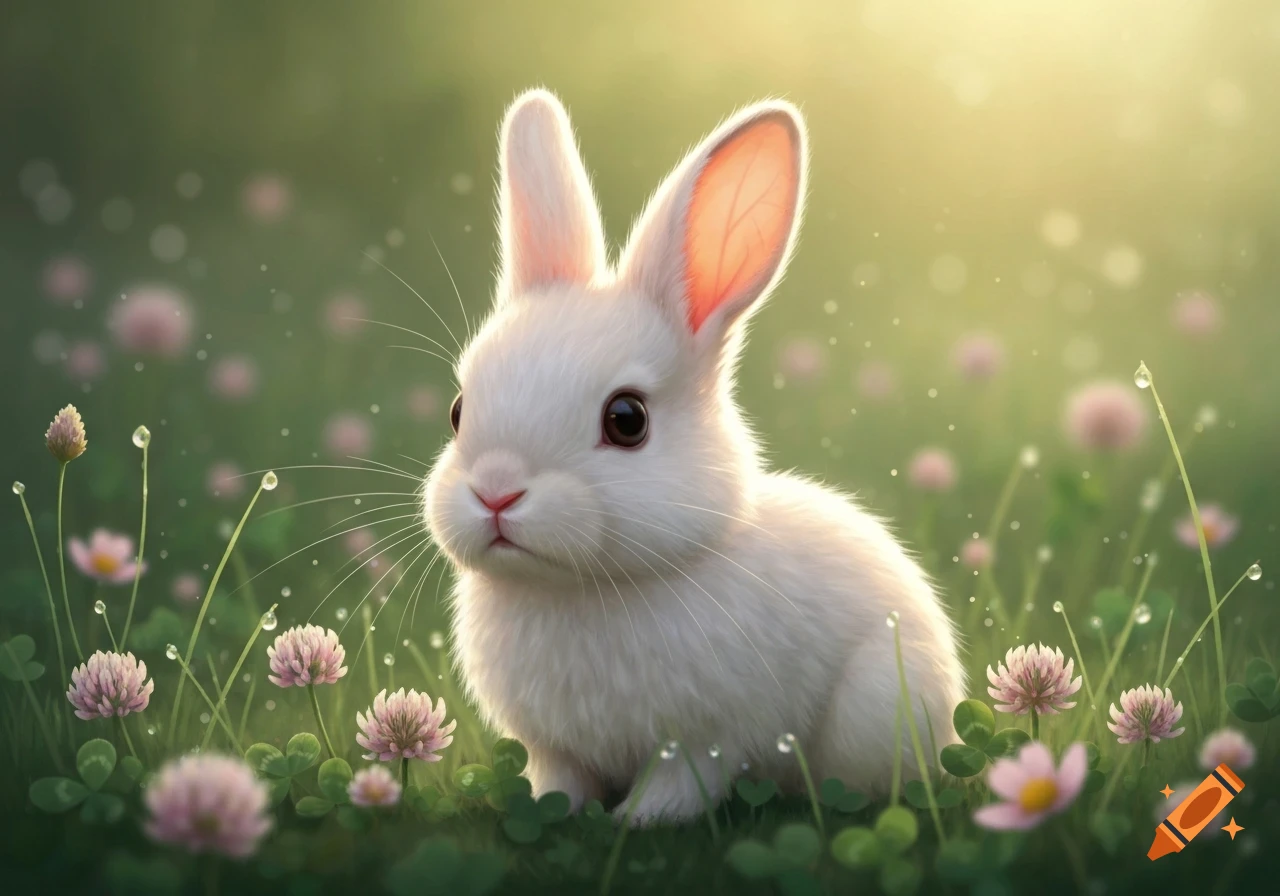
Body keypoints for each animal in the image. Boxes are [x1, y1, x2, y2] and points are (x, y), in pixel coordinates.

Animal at [423, 88, 967, 825]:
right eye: (458, 410)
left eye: (626, 420)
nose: (496, 492)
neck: (580, 590)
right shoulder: (554, 747)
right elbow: (560, 780)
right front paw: (552, 808)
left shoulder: (708, 739)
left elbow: (682, 784)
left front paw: (636, 822)